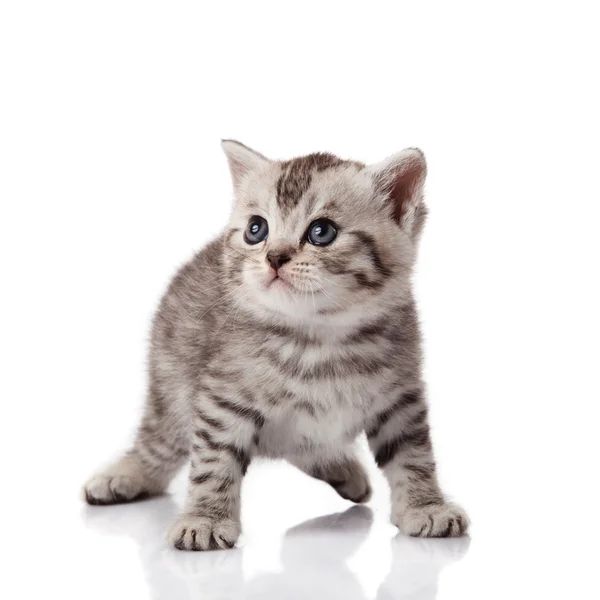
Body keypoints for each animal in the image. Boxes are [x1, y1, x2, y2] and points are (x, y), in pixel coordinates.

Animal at [83, 139, 468, 548]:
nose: (274, 257)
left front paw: (426, 506)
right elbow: (213, 461)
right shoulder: (223, 398)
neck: (318, 338)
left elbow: (413, 454)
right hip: (171, 386)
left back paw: (341, 469)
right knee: (160, 443)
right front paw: (205, 519)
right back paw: (123, 476)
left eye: (321, 232)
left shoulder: (400, 396)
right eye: (256, 229)